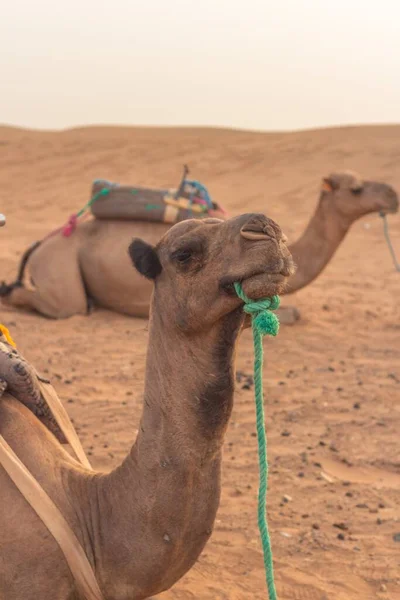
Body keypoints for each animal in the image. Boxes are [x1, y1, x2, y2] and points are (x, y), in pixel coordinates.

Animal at [0, 169, 396, 324]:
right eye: (356, 189)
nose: (392, 195)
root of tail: (43, 242)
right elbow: (291, 313)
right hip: (59, 265)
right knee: (58, 303)